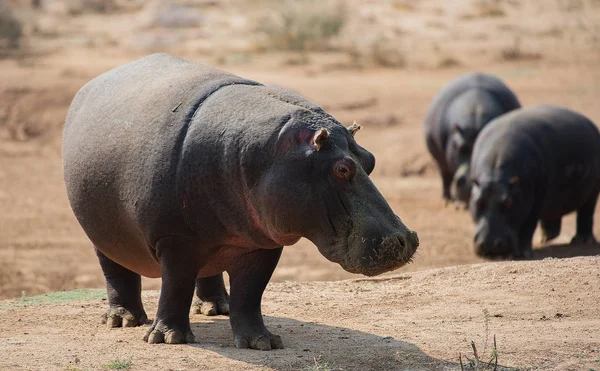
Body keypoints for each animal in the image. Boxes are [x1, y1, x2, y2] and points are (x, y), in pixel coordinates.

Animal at [61, 53, 418, 350]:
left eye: (370, 159)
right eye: (342, 168)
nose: (404, 239)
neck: (270, 155)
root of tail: (94, 82)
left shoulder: (262, 241)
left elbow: (250, 293)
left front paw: (262, 343)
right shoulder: (175, 239)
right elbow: (175, 284)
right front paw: (168, 339)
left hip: (217, 237)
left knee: (209, 270)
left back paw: (217, 308)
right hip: (102, 232)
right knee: (116, 271)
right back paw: (123, 320)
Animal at [422, 72, 520, 206]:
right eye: (459, 147)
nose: (470, 186)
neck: (475, 110)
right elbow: (446, 176)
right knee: (445, 176)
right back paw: (447, 199)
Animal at [468, 106, 600, 260]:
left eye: (508, 202)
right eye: (477, 202)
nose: (490, 244)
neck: (495, 175)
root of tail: (590, 123)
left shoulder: (534, 201)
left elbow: (527, 226)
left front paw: (522, 254)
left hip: (592, 192)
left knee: (586, 213)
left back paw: (582, 240)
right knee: (553, 214)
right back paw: (545, 238)